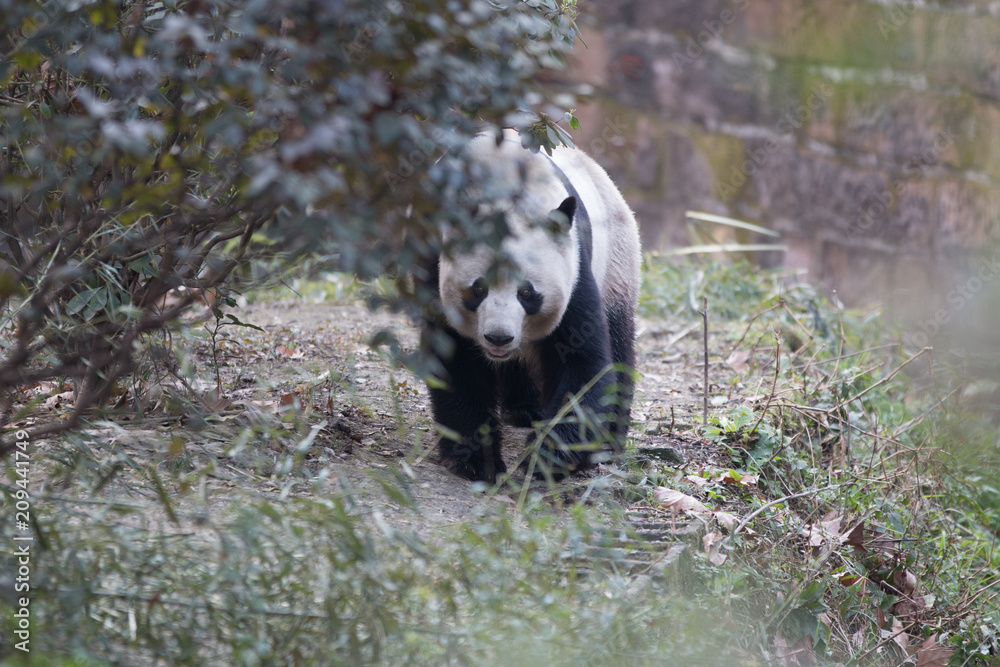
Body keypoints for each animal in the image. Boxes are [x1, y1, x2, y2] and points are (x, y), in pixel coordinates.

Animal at [422, 128, 640, 482]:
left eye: (527, 293)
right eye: (478, 289)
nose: (498, 337)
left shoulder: (573, 267)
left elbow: (581, 363)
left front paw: (543, 458)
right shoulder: (432, 258)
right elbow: (456, 362)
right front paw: (476, 460)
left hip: (617, 263)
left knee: (619, 341)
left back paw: (608, 438)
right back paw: (524, 409)